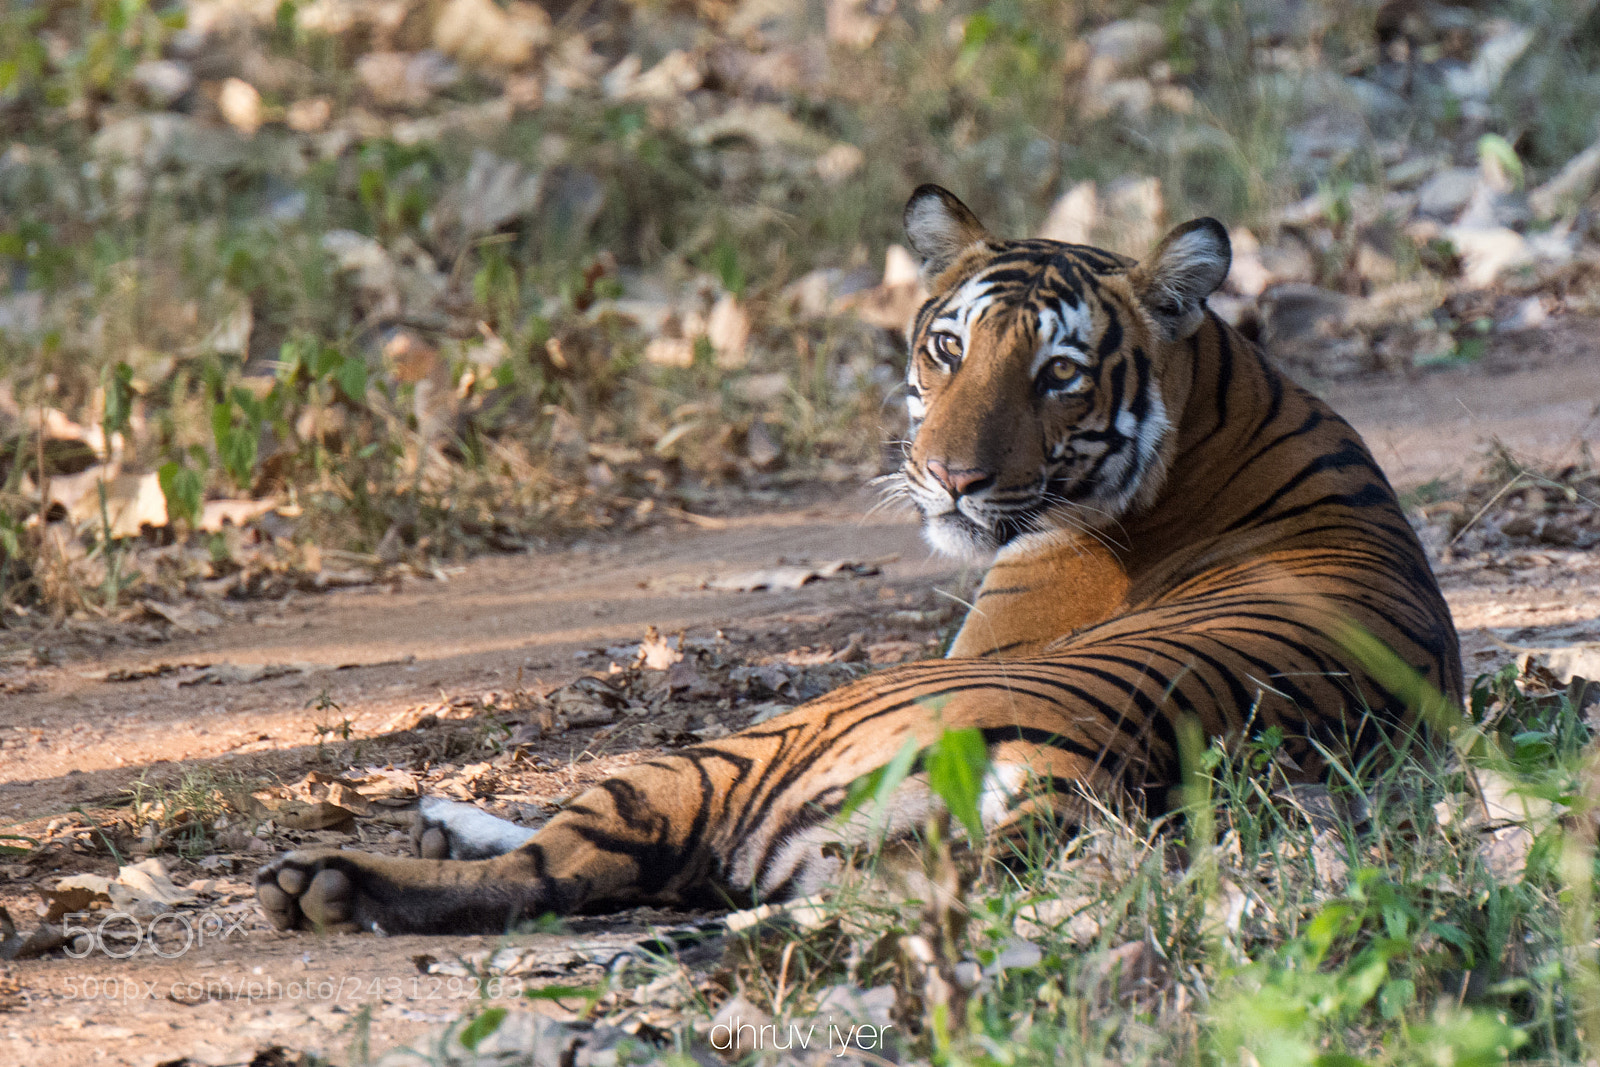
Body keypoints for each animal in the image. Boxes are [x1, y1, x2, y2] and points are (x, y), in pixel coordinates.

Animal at [255, 185, 1461, 934]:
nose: (950, 477)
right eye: (948, 348)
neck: (1222, 395)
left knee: (569, 860)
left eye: (1060, 375)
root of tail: (1060, 790)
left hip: (754, 746)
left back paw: (329, 880)